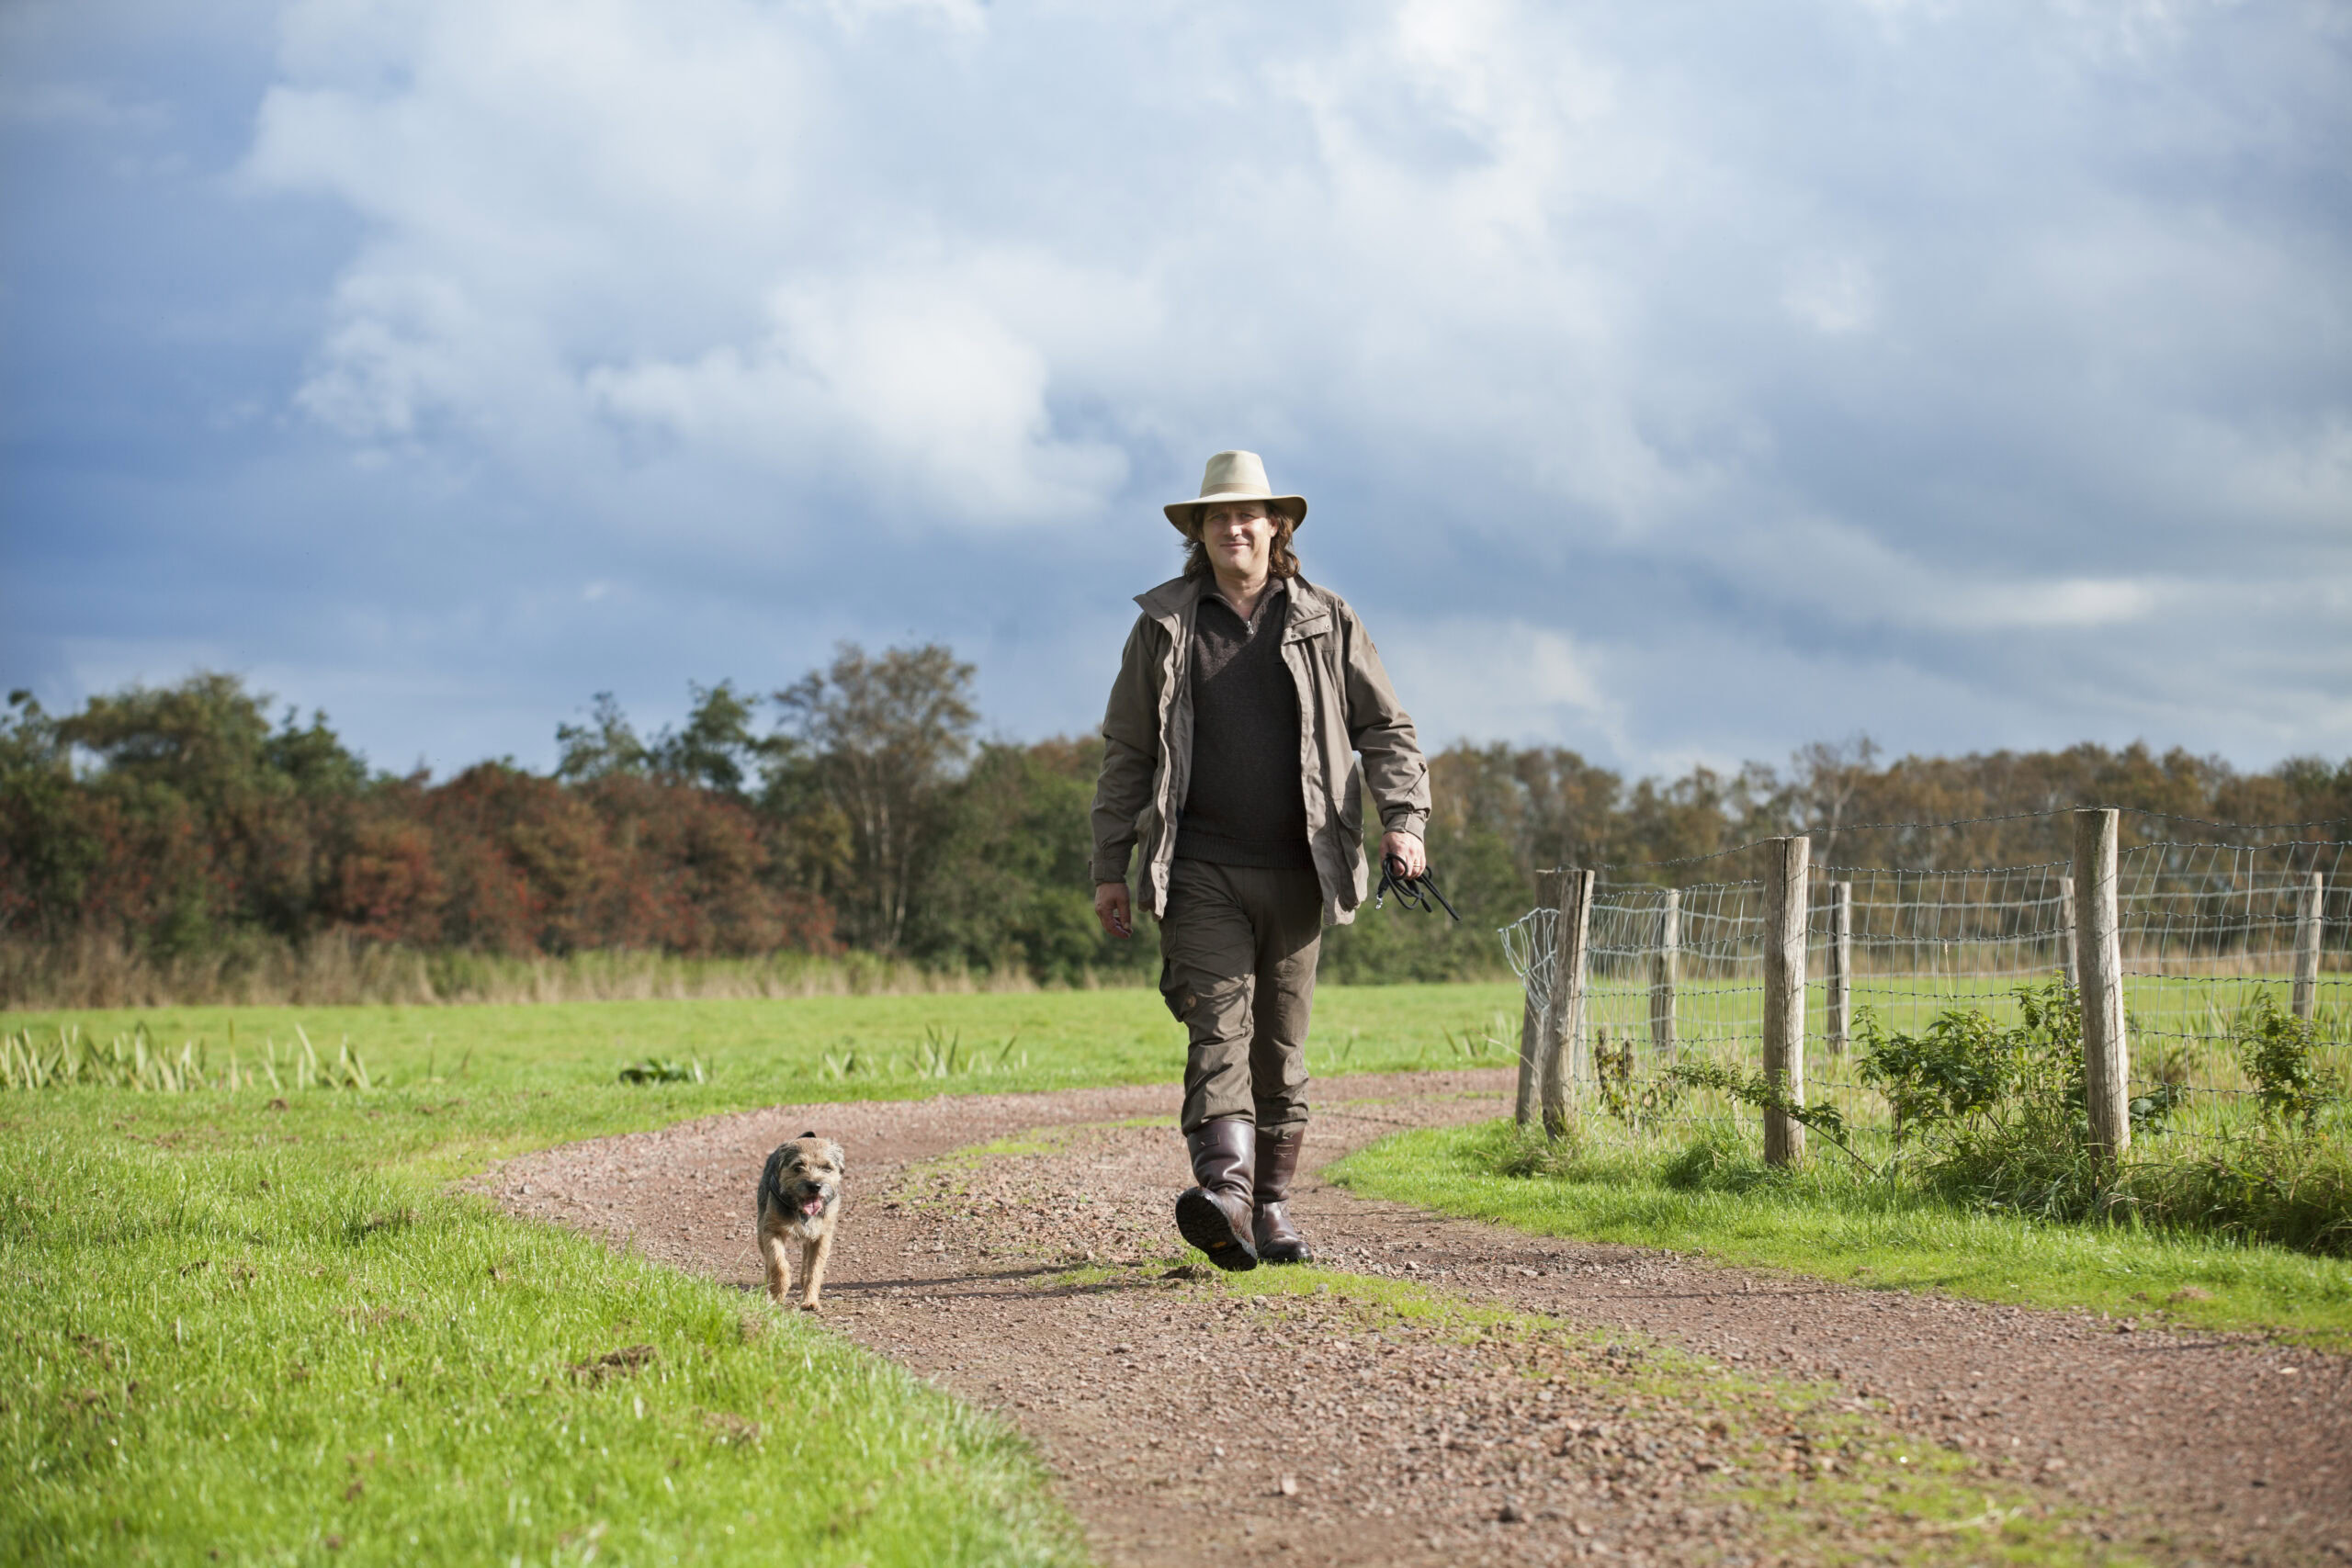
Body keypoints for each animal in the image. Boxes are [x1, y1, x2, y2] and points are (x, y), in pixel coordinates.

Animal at [756, 1132, 845, 1312]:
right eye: (798, 1167)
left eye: (827, 1168)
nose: (815, 1186)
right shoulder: (771, 1230)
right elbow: (778, 1263)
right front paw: (777, 1293)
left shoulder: (822, 1237)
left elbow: (815, 1269)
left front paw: (810, 1300)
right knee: (769, 1263)